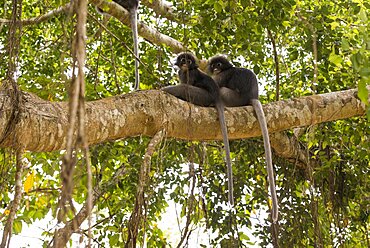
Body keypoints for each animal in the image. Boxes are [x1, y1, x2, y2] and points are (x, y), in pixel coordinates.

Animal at [161, 53, 234, 206]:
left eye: (189, 61)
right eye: (183, 60)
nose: (185, 63)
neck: (185, 70)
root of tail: (216, 96)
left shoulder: (190, 73)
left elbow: (187, 85)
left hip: (203, 96)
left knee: (184, 88)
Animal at [208, 54, 278, 223]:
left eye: (218, 64)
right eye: (213, 65)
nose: (215, 68)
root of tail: (251, 97)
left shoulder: (223, 75)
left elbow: (215, 84)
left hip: (232, 98)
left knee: (221, 90)